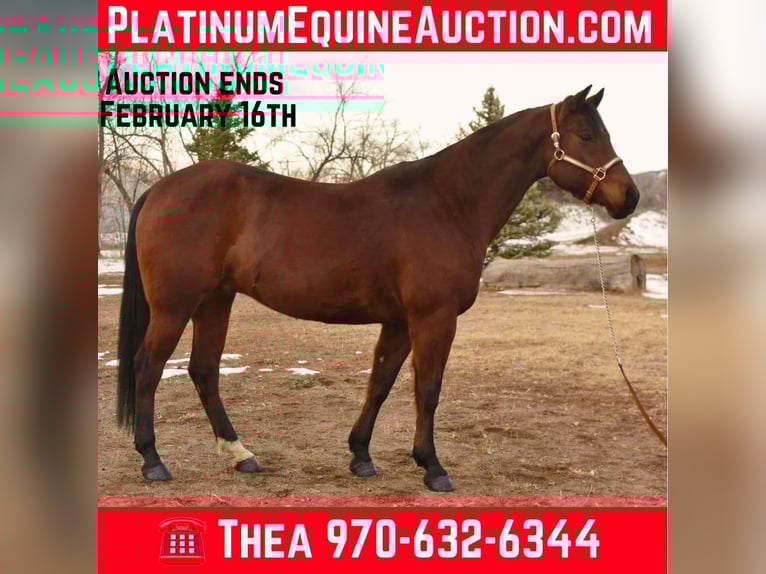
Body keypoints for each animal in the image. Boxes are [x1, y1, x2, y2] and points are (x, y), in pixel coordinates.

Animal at [116, 85, 639, 492]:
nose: (629, 196)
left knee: (204, 370)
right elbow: (427, 389)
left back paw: (241, 454)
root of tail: (159, 188)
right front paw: (433, 468)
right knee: (149, 367)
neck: (447, 204)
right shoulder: (433, 318)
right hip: (175, 305)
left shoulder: (399, 322)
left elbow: (381, 384)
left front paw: (361, 456)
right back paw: (153, 461)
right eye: (587, 135)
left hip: (215, 301)